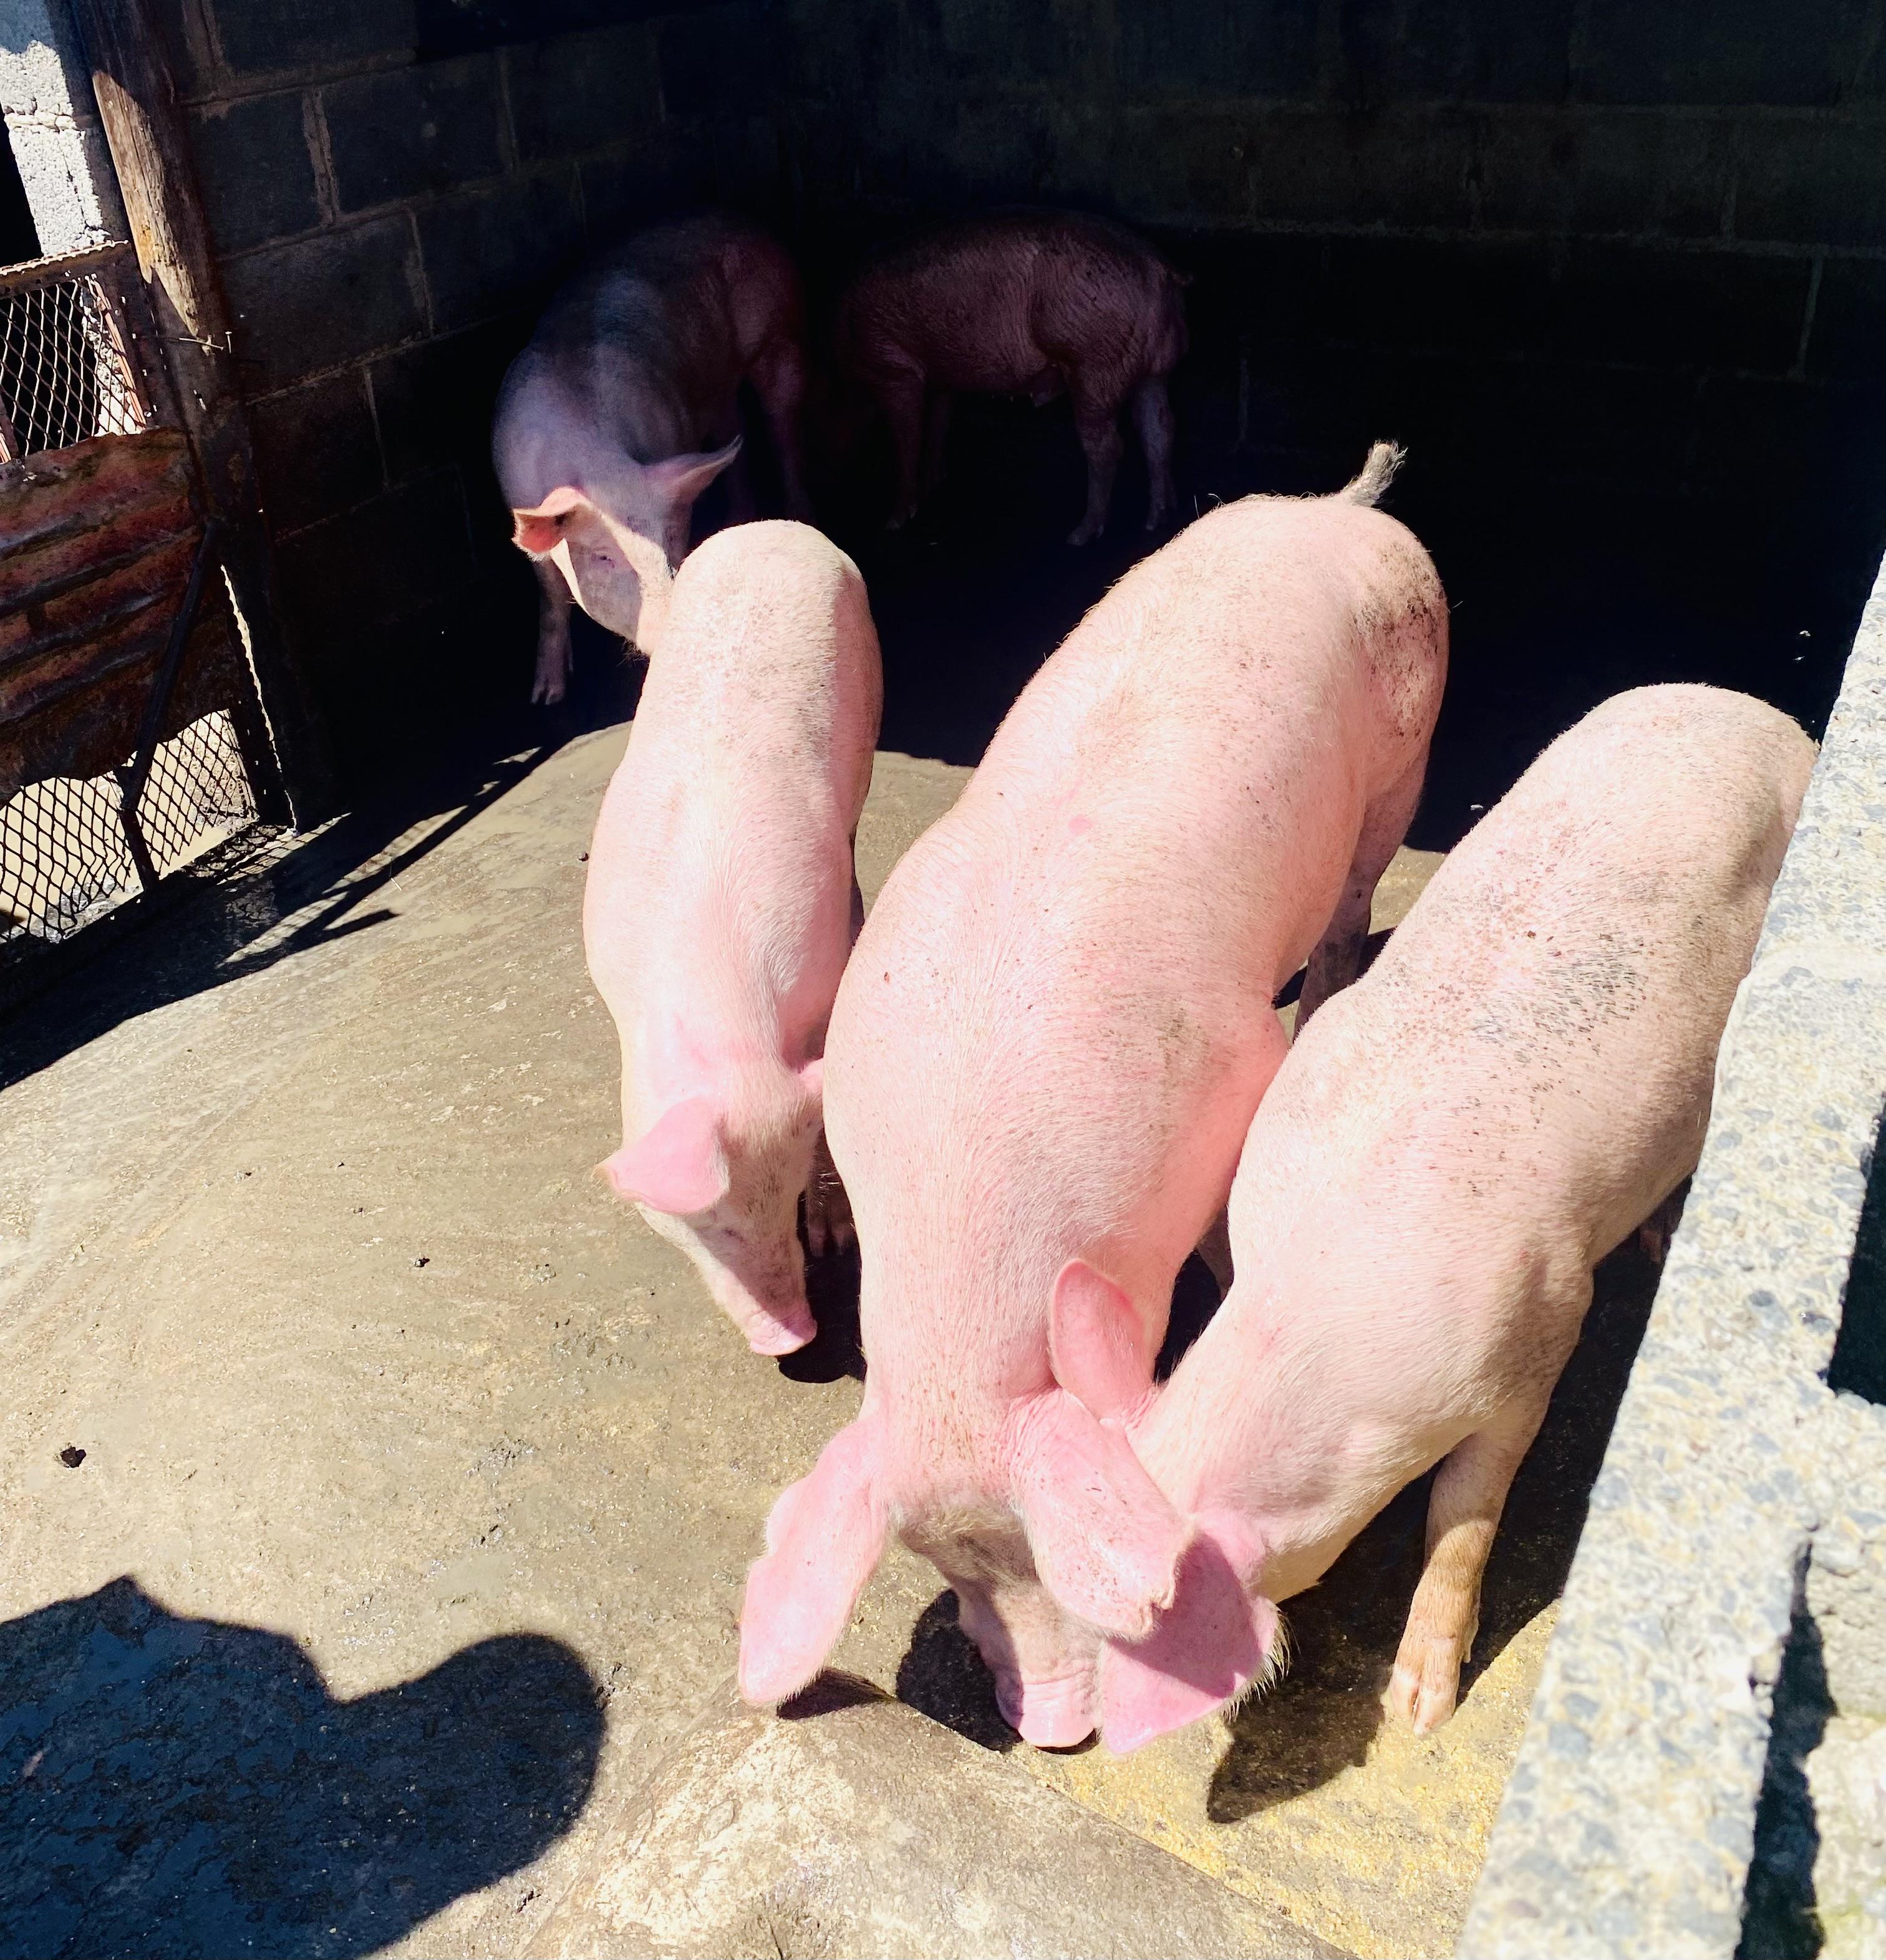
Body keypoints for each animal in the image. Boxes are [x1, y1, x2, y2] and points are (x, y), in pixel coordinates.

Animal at [494, 214, 813, 704]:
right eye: (603, 556)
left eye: (673, 538)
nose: (675, 632)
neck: (597, 461)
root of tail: (734, 217)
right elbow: (549, 596)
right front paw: (546, 697)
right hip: (719, 388)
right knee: (735, 426)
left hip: (781, 331)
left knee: (785, 429)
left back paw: (802, 518)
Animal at [737, 444, 1448, 1744]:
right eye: (951, 1572)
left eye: (1066, 1576)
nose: (1051, 1729)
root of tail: (1339, 513)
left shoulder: (1225, 1066)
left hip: (1405, 755)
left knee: (1349, 901)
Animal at [835, 210, 1189, 546]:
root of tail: (1155, 267)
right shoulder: (941, 376)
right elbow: (938, 422)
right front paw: (934, 480)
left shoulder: (892, 366)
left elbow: (906, 437)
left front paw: (894, 522)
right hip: (1155, 369)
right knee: (1159, 428)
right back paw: (1158, 517)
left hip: (1094, 365)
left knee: (1108, 446)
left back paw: (1079, 536)